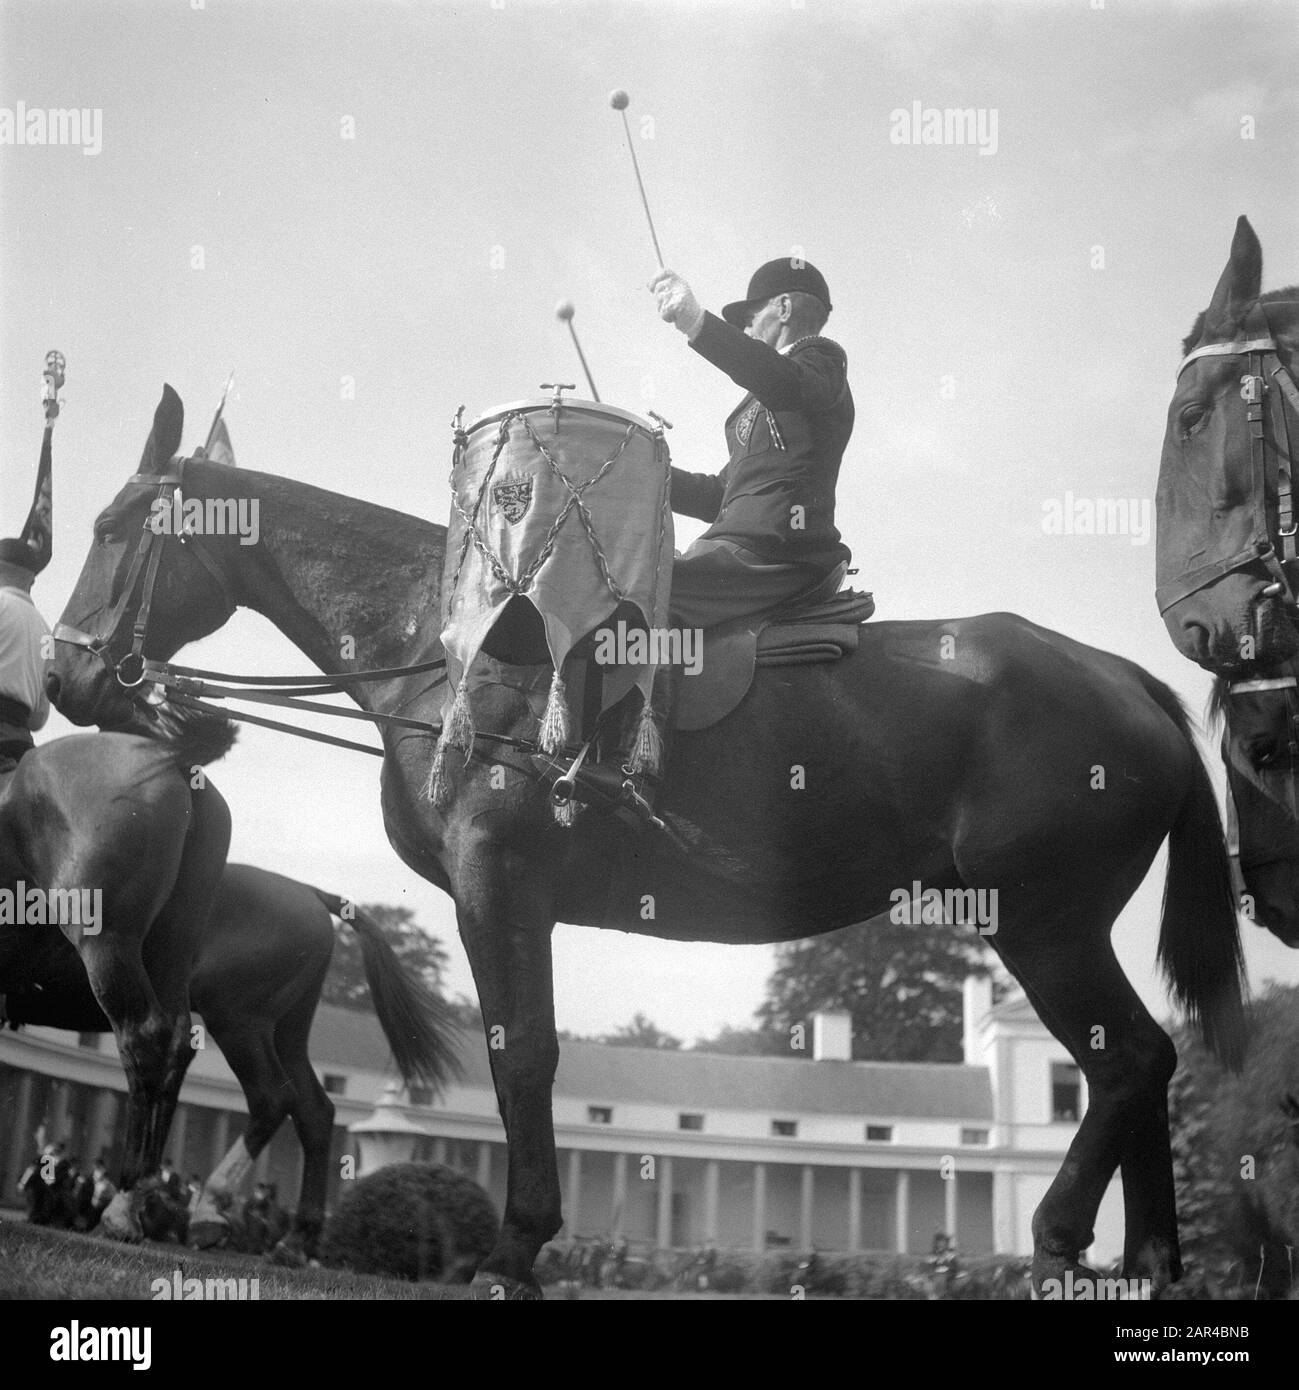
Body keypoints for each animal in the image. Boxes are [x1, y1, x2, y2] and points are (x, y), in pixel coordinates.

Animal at [3, 860, 458, 1259]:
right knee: (314, 1110)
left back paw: (205, 1211)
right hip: (287, 1027)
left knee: (272, 1098)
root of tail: (307, 891)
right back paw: (293, 1241)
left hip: (239, 1018)